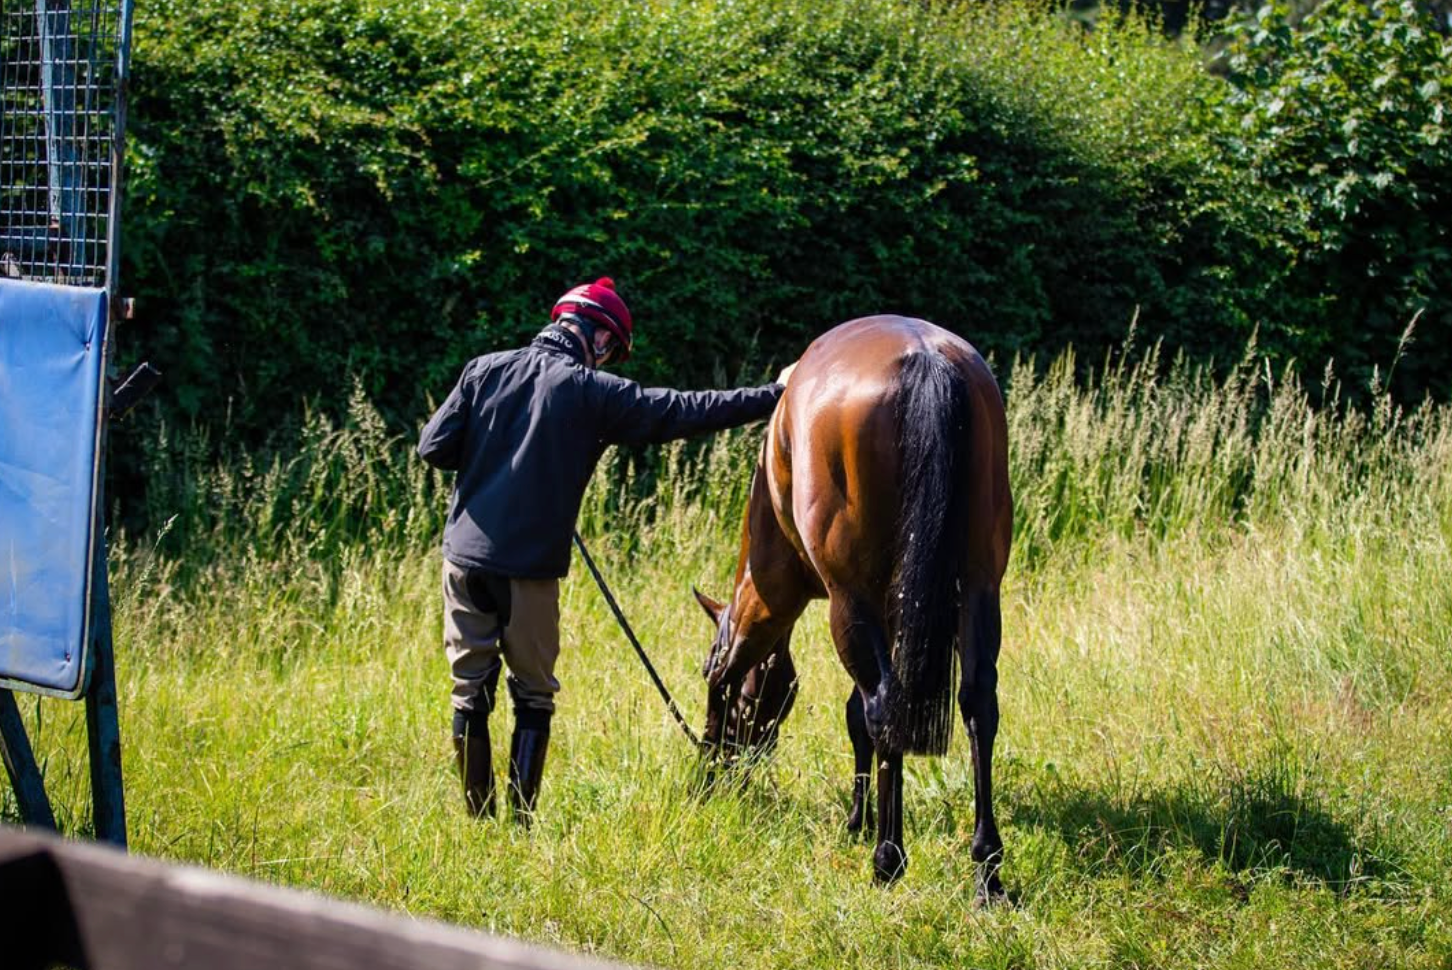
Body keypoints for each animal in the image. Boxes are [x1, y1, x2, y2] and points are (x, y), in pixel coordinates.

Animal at [693, 315, 1012, 896]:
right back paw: (987, 869)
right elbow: (859, 718)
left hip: (850, 599)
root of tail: (925, 358)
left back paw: (889, 857)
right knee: (978, 702)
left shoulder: (784, 591)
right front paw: (860, 820)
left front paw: (862, 826)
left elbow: (858, 715)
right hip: (979, 586)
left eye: (707, 671)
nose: (723, 766)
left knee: (884, 705)